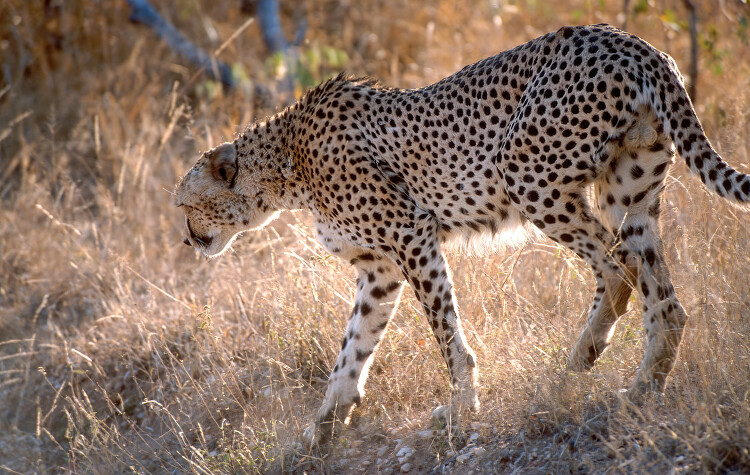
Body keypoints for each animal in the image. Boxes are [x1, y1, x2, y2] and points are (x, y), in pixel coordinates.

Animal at [178, 24, 750, 448]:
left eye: (184, 205)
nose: (187, 241)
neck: (286, 164)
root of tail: (634, 43)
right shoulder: (379, 270)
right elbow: (352, 348)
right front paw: (320, 429)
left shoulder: (411, 234)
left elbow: (445, 330)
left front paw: (461, 407)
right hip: (629, 195)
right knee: (664, 298)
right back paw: (640, 387)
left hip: (527, 174)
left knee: (616, 270)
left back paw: (579, 363)